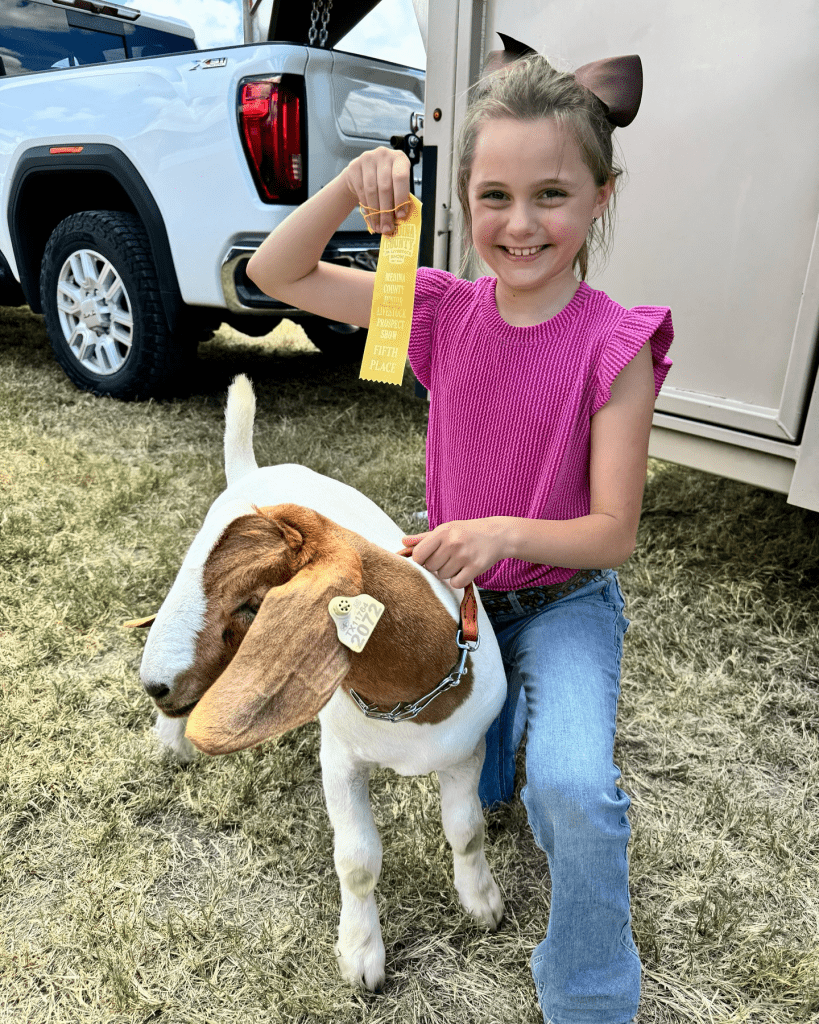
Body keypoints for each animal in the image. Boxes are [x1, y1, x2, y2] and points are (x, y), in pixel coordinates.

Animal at [133, 376, 505, 991]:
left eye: (253, 604)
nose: (155, 686)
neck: (411, 706)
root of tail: (254, 470)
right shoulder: (341, 761)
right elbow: (357, 861)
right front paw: (361, 956)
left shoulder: (467, 752)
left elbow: (467, 829)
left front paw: (482, 903)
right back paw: (172, 744)